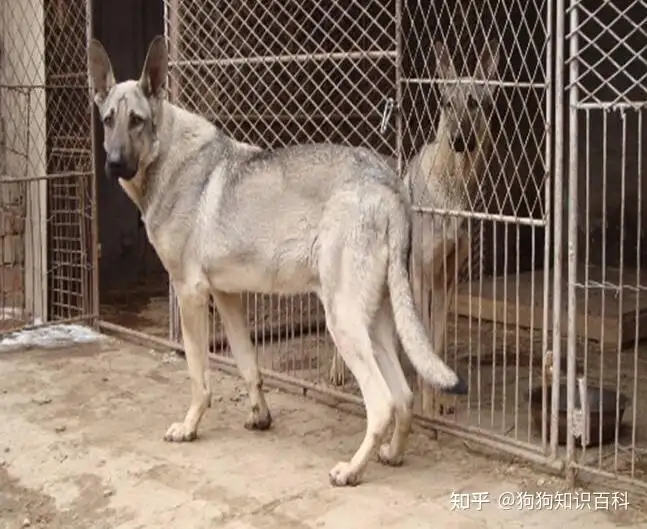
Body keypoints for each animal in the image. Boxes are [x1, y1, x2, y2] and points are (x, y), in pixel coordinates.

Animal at [88, 34, 468, 486]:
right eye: (108, 120)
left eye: (137, 121)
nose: (113, 164)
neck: (166, 157)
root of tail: (387, 184)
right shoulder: (227, 296)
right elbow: (248, 364)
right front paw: (260, 416)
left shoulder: (190, 294)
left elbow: (199, 376)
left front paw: (190, 426)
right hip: (372, 323)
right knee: (404, 397)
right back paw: (391, 455)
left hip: (343, 322)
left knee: (382, 404)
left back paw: (351, 470)